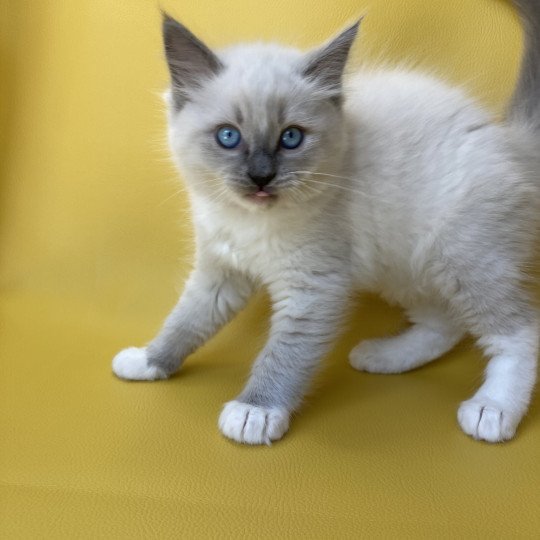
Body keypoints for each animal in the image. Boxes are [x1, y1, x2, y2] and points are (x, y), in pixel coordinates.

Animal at [113, 2, 540, 446]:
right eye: (228, 137)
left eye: (291, 138)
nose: (261, 177)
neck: (249, 222)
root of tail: (511, 140)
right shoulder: (221, 272)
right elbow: (186, 321)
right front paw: (149, 360)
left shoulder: (313, 287)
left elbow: (283, 354)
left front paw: (254, 412)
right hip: (406, 266)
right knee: (445, 323)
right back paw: (382, 356)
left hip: (460, 259)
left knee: (520, 328)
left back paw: (493, 410)